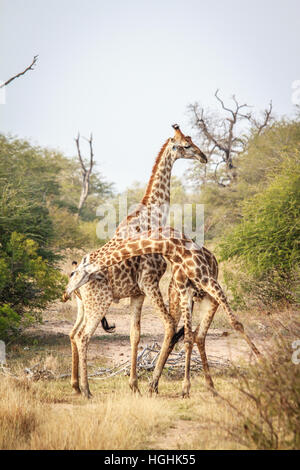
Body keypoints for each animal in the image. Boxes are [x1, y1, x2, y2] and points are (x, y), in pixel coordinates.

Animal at [67, 125, 207, 396]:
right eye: (185, 145)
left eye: (192, 140)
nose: (204, 157)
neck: (153, 215)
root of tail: (74, 282)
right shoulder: (149, 281)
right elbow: (169, 325)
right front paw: (152, 384)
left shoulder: (137, 292)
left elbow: (135, 334)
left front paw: (134, 386)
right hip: (99, 302)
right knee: (82, 337)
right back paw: (87, 390)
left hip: (84, 305)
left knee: (73, 333)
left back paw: (76, 385)